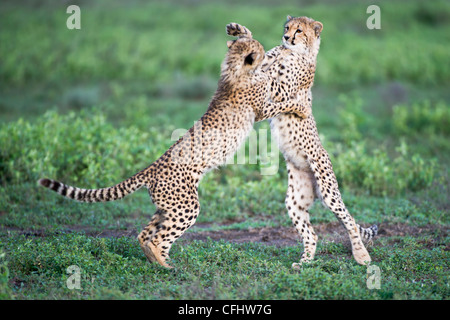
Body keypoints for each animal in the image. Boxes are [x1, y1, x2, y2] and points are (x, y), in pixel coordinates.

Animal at [38, 36, 312, 268]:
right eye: (263, 50)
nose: (277, 48)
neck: (235, 70)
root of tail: (151, 167)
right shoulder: (261, 109)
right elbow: (282, 101)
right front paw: (299, 104)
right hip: (186, 206)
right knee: (158, 238)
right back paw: (167, 267)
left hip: (167, 207)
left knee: (144, 234)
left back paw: (158, 262)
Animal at [227, 17, 378, 268]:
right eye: (287, 28)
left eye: (299, 31)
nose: (287, 37)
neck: (294, 52)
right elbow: (261, 57)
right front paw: (239, 32)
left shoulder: (281, 90)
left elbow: (270, 79)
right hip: (295, 200)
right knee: (312, 233)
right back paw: (305, 262)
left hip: (328, 191)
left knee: (350, 220)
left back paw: (361, 256)